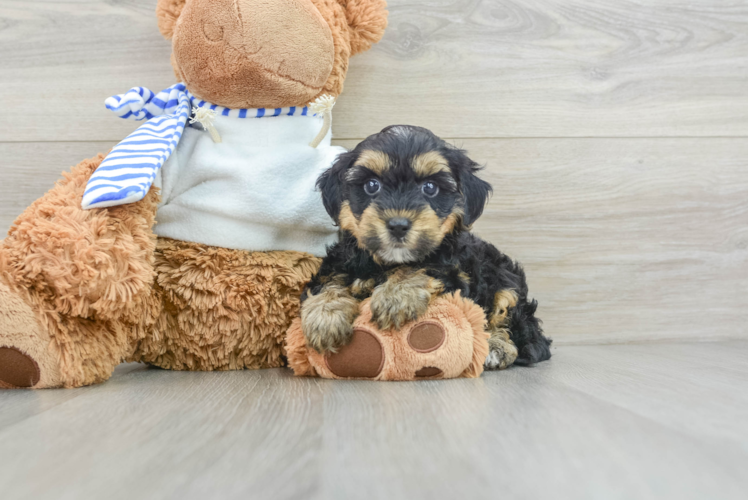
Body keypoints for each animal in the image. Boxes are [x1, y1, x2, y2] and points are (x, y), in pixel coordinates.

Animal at [300, 124, 552, 368]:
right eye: (372, 185)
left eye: (430, 188)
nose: (398, 225)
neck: (387, 261)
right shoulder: (341, 260)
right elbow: (328, 280)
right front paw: (325, 316)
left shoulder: (457, 274)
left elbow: (424, 266)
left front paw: (395, 296)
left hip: (507, 282)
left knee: (520, 326)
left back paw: (497, 347)